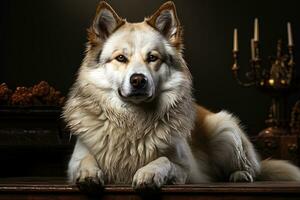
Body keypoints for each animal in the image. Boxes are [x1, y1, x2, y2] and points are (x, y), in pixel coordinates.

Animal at [62, 0, 300, 188]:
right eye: (121, 58)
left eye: (152, 58)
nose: (138, 80)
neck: (133, 120)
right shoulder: (75, 160)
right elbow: (85, 160)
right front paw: (88, 174)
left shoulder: (186, 169)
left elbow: (164, 161)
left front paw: (149, 172)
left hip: (225, 130)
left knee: (252, 168)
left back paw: (241, 175)